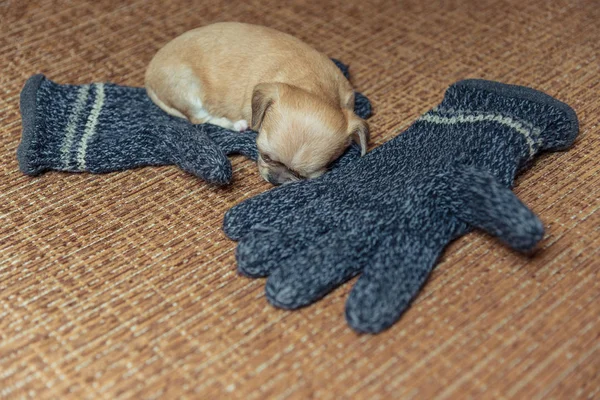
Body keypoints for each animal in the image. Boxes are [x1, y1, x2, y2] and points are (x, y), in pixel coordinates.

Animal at [146, 21, 370, 185]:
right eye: (265, 156)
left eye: (301, 175)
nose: (275, 180)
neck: (314, 88)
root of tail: (149, 76)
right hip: (188, 87)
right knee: (199, 117)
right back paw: (235, 124)